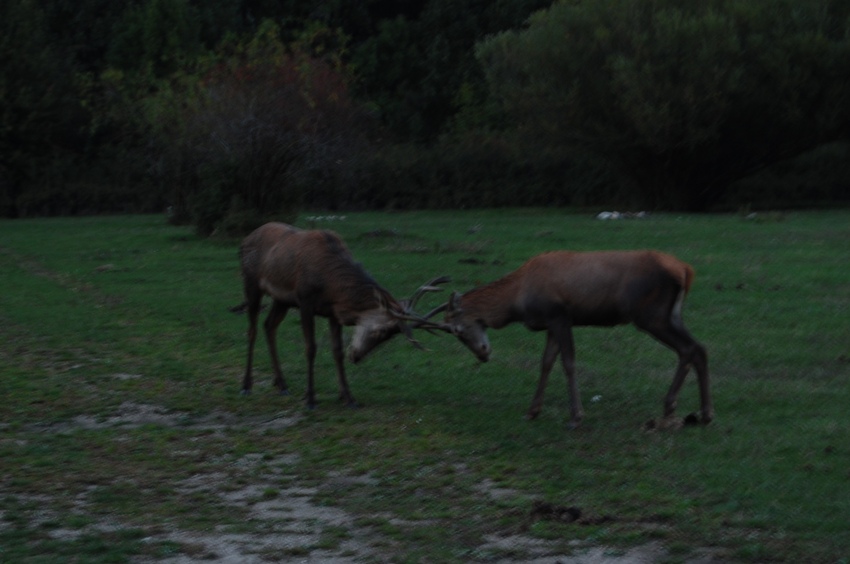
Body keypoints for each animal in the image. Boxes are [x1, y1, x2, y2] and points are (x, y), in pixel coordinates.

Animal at [232, 221, 444, 410]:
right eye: (380, 331)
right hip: (251, 282)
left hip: (282, 299)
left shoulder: (332, 312)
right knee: (252, 330)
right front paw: (310, 399)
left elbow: (337, 351)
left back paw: (281, 384)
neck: (331, 285)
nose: (357, 357)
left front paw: (348, 398)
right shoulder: (305, 301)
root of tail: (245, 240)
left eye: (388, 337)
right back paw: (246, 386)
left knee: (269, 326)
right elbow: (311, 348)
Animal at [422, 250, 708, 428]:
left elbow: (568, 362)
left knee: (689, 348)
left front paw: (576, 417)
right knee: (698, 347)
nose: (482, 354)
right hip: (670, 315)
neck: (517, 300)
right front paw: (532, 411)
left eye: (457, 330)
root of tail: (686, 271)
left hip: (651, 315)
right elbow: (546, 362)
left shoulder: (560, 315)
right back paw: (701, 413)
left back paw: (676, 408)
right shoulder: (550, 323)